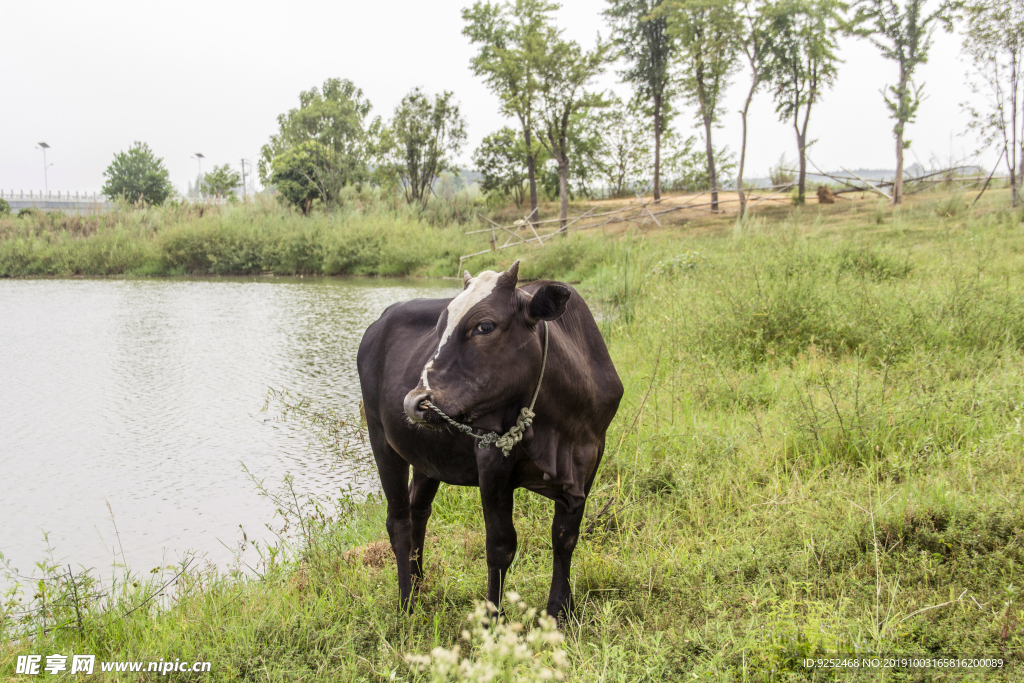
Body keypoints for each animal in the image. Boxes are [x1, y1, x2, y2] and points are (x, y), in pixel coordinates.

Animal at [356, 260, 618, 618]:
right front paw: (492, 618)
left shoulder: (589, 459)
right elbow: (500, 546)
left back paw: (420, 584)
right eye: (439, 328)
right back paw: (407, 602)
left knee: (418, 510)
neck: (559, 433)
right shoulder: (492, 461)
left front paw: (559, 611)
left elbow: (565, 536)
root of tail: (379, 322)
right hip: (381, 439)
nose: (415, 401)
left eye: (485, 326)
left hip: (428, 456)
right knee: (399, 521)